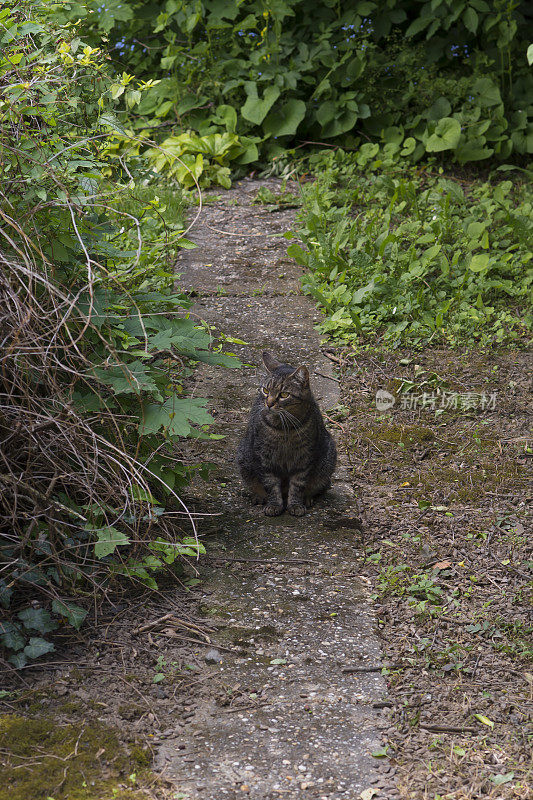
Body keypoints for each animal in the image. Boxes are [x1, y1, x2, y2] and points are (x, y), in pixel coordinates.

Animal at [236, 352, 334, 520]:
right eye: (265, 390)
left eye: (284, 395)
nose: (269, 404)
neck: (284, 428)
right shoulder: (264, 458)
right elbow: (270, 485)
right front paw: (274, 505)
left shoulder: (304, 459)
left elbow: (297, 485)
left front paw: (295, 505)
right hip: (244, 457)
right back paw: (259, 497)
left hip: (327, 460)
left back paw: (307, 498)